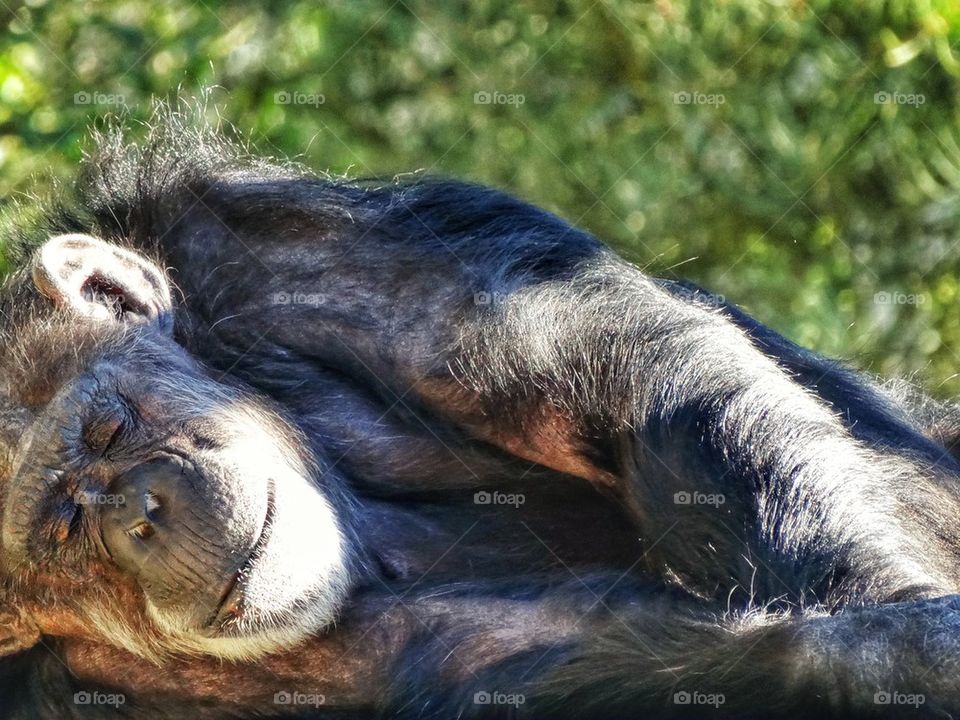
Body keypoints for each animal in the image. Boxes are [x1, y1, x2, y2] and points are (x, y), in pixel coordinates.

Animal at [0, 108, 960, 720]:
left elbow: (624, 372)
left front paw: (907, 625)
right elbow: (622, 650)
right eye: (61, 532)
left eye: (108, 428)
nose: (138, 516)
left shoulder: (274, 243)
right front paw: (892, 655)